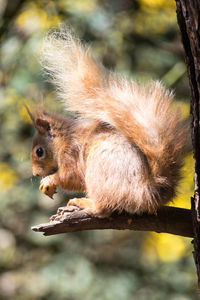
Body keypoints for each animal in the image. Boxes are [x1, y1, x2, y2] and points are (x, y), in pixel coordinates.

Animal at [27, 28, 188, 218]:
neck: (64, 137)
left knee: (104, 207)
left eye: (39, 151)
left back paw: (85, 203)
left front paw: (49, 180)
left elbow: (72, 176)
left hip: (99, 168)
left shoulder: (72, 153)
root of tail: (146, 194)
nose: (35, 173)